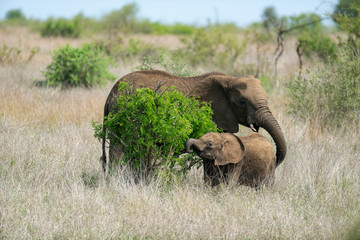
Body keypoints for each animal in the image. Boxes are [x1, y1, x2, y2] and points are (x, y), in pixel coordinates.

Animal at [101, 69, 286, 172]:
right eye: (242, 102)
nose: (275, 161)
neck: (230, 79)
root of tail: (111, 92)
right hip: (123, 114)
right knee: (119, 149)